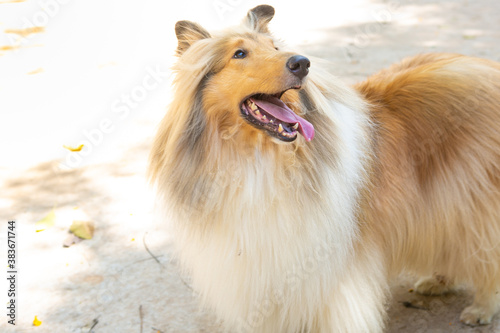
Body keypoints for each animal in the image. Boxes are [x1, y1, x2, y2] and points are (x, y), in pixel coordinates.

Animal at [149, 5, 500, 332]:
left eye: (275, 47)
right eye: (239, 53)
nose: (301, 62)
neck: (256, 157)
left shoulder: (334, 266)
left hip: (473, 203)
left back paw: (481, 308)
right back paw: (437, 282)